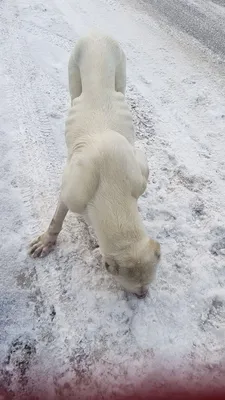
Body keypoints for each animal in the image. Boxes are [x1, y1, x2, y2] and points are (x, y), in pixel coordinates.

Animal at [29, 31, 161, 296]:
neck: (113, 191)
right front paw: (48, 240)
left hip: (120, 68)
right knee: (75, 93)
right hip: (74, 69)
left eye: (147, 285)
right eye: (135, 290)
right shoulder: (73, 192)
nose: (144, 297)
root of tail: (98, 34)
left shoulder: (138, 175)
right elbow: (57, 217)